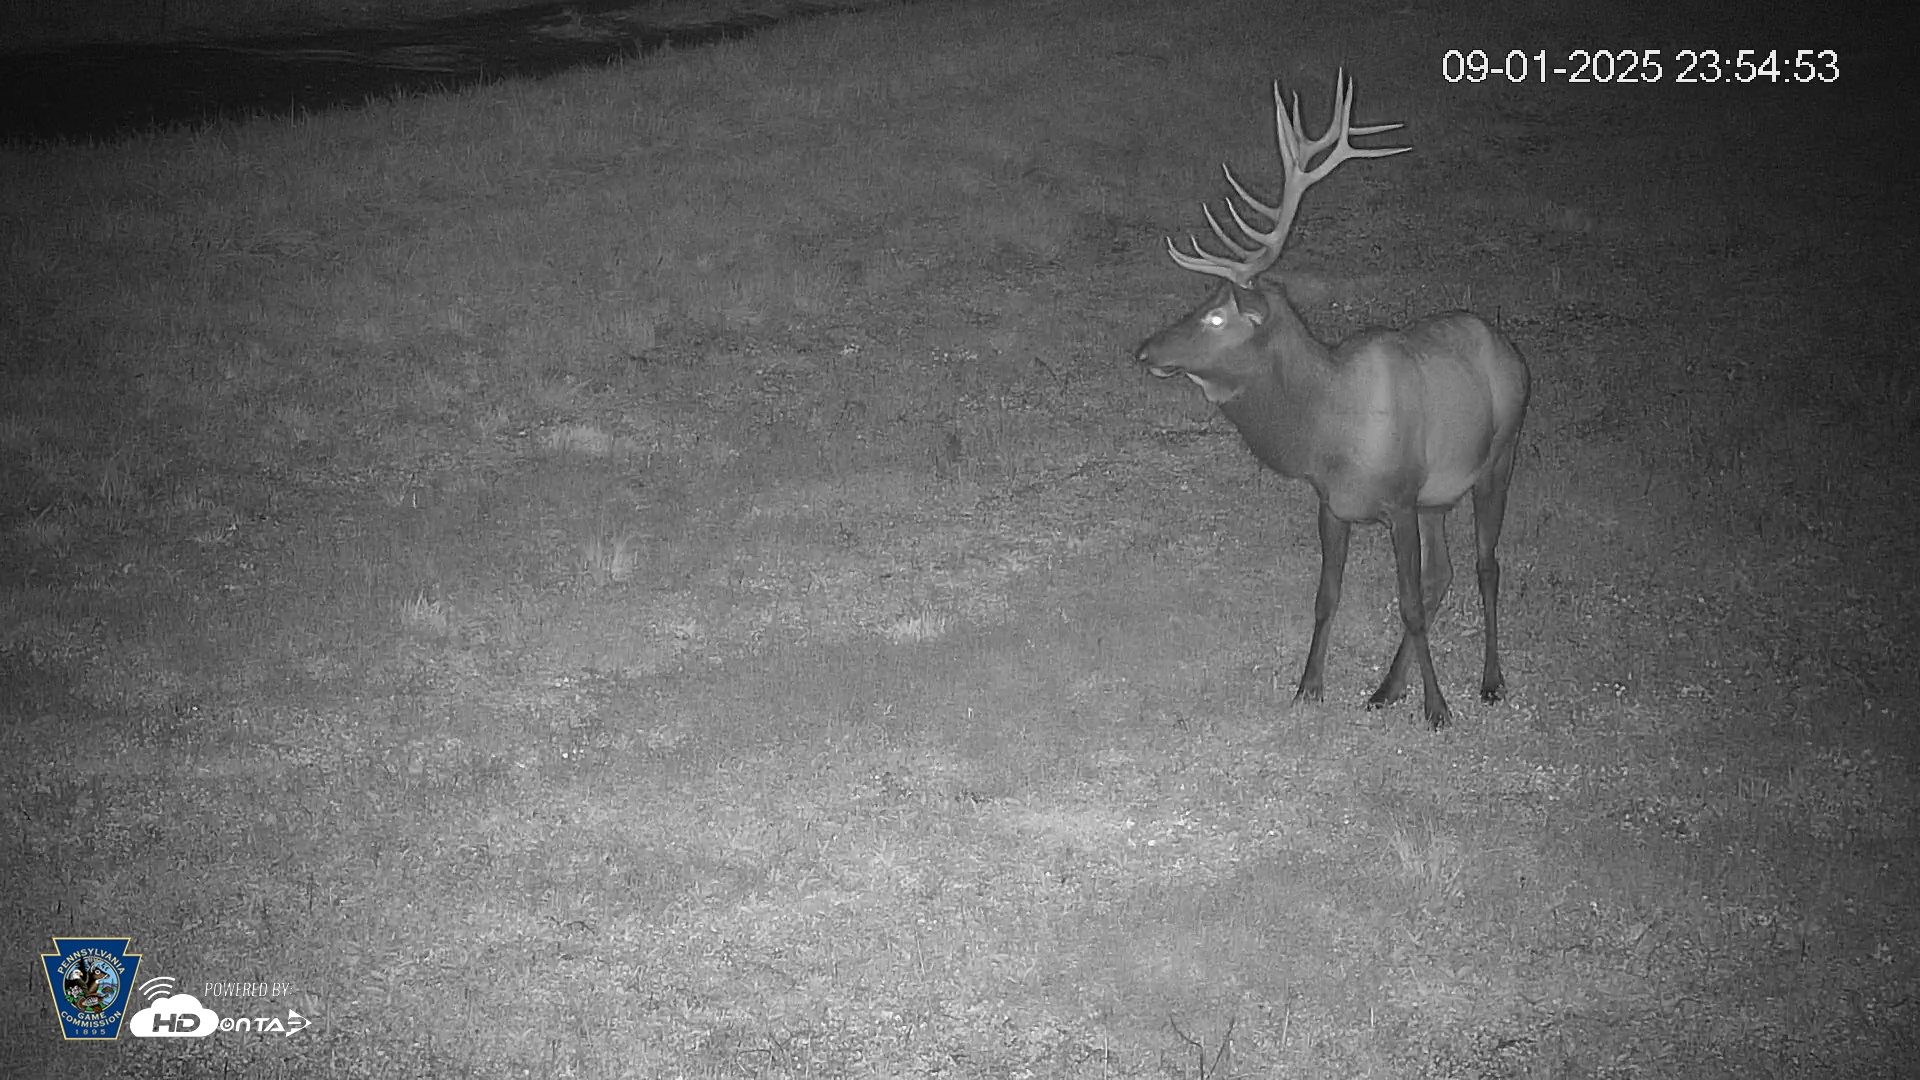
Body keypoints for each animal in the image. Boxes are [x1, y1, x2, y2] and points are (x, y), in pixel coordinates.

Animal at [1136, 72, 1530, 730]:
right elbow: (1328, 596)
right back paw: (1387, 688)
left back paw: (1489, 681)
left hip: (1499, 456)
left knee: (1485, 566)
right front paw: (1310, 686)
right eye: (1199, 304)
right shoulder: (1333, 504)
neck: (1327, 431)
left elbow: (1407, 602)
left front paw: (1438, 708)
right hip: (1438, 496)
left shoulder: (1398, 500)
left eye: (1216, 316)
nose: (1146, 349)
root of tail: (1511, 349)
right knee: (1445, 572)